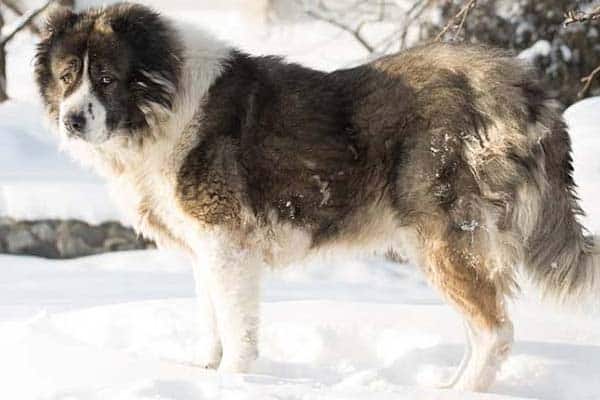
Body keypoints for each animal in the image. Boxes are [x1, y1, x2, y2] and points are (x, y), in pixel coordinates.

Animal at [34, 2, 600, 390]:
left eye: (106, 78)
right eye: (67, 77)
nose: (72, 120)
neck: (164, 104)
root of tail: (520, 85)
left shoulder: (227, 244)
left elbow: (235, 324)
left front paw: (233, 380)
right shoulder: (203, 250)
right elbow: (210, 318)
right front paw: (204, 370)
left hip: (442, 239)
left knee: (494, 331)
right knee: (481, 328)